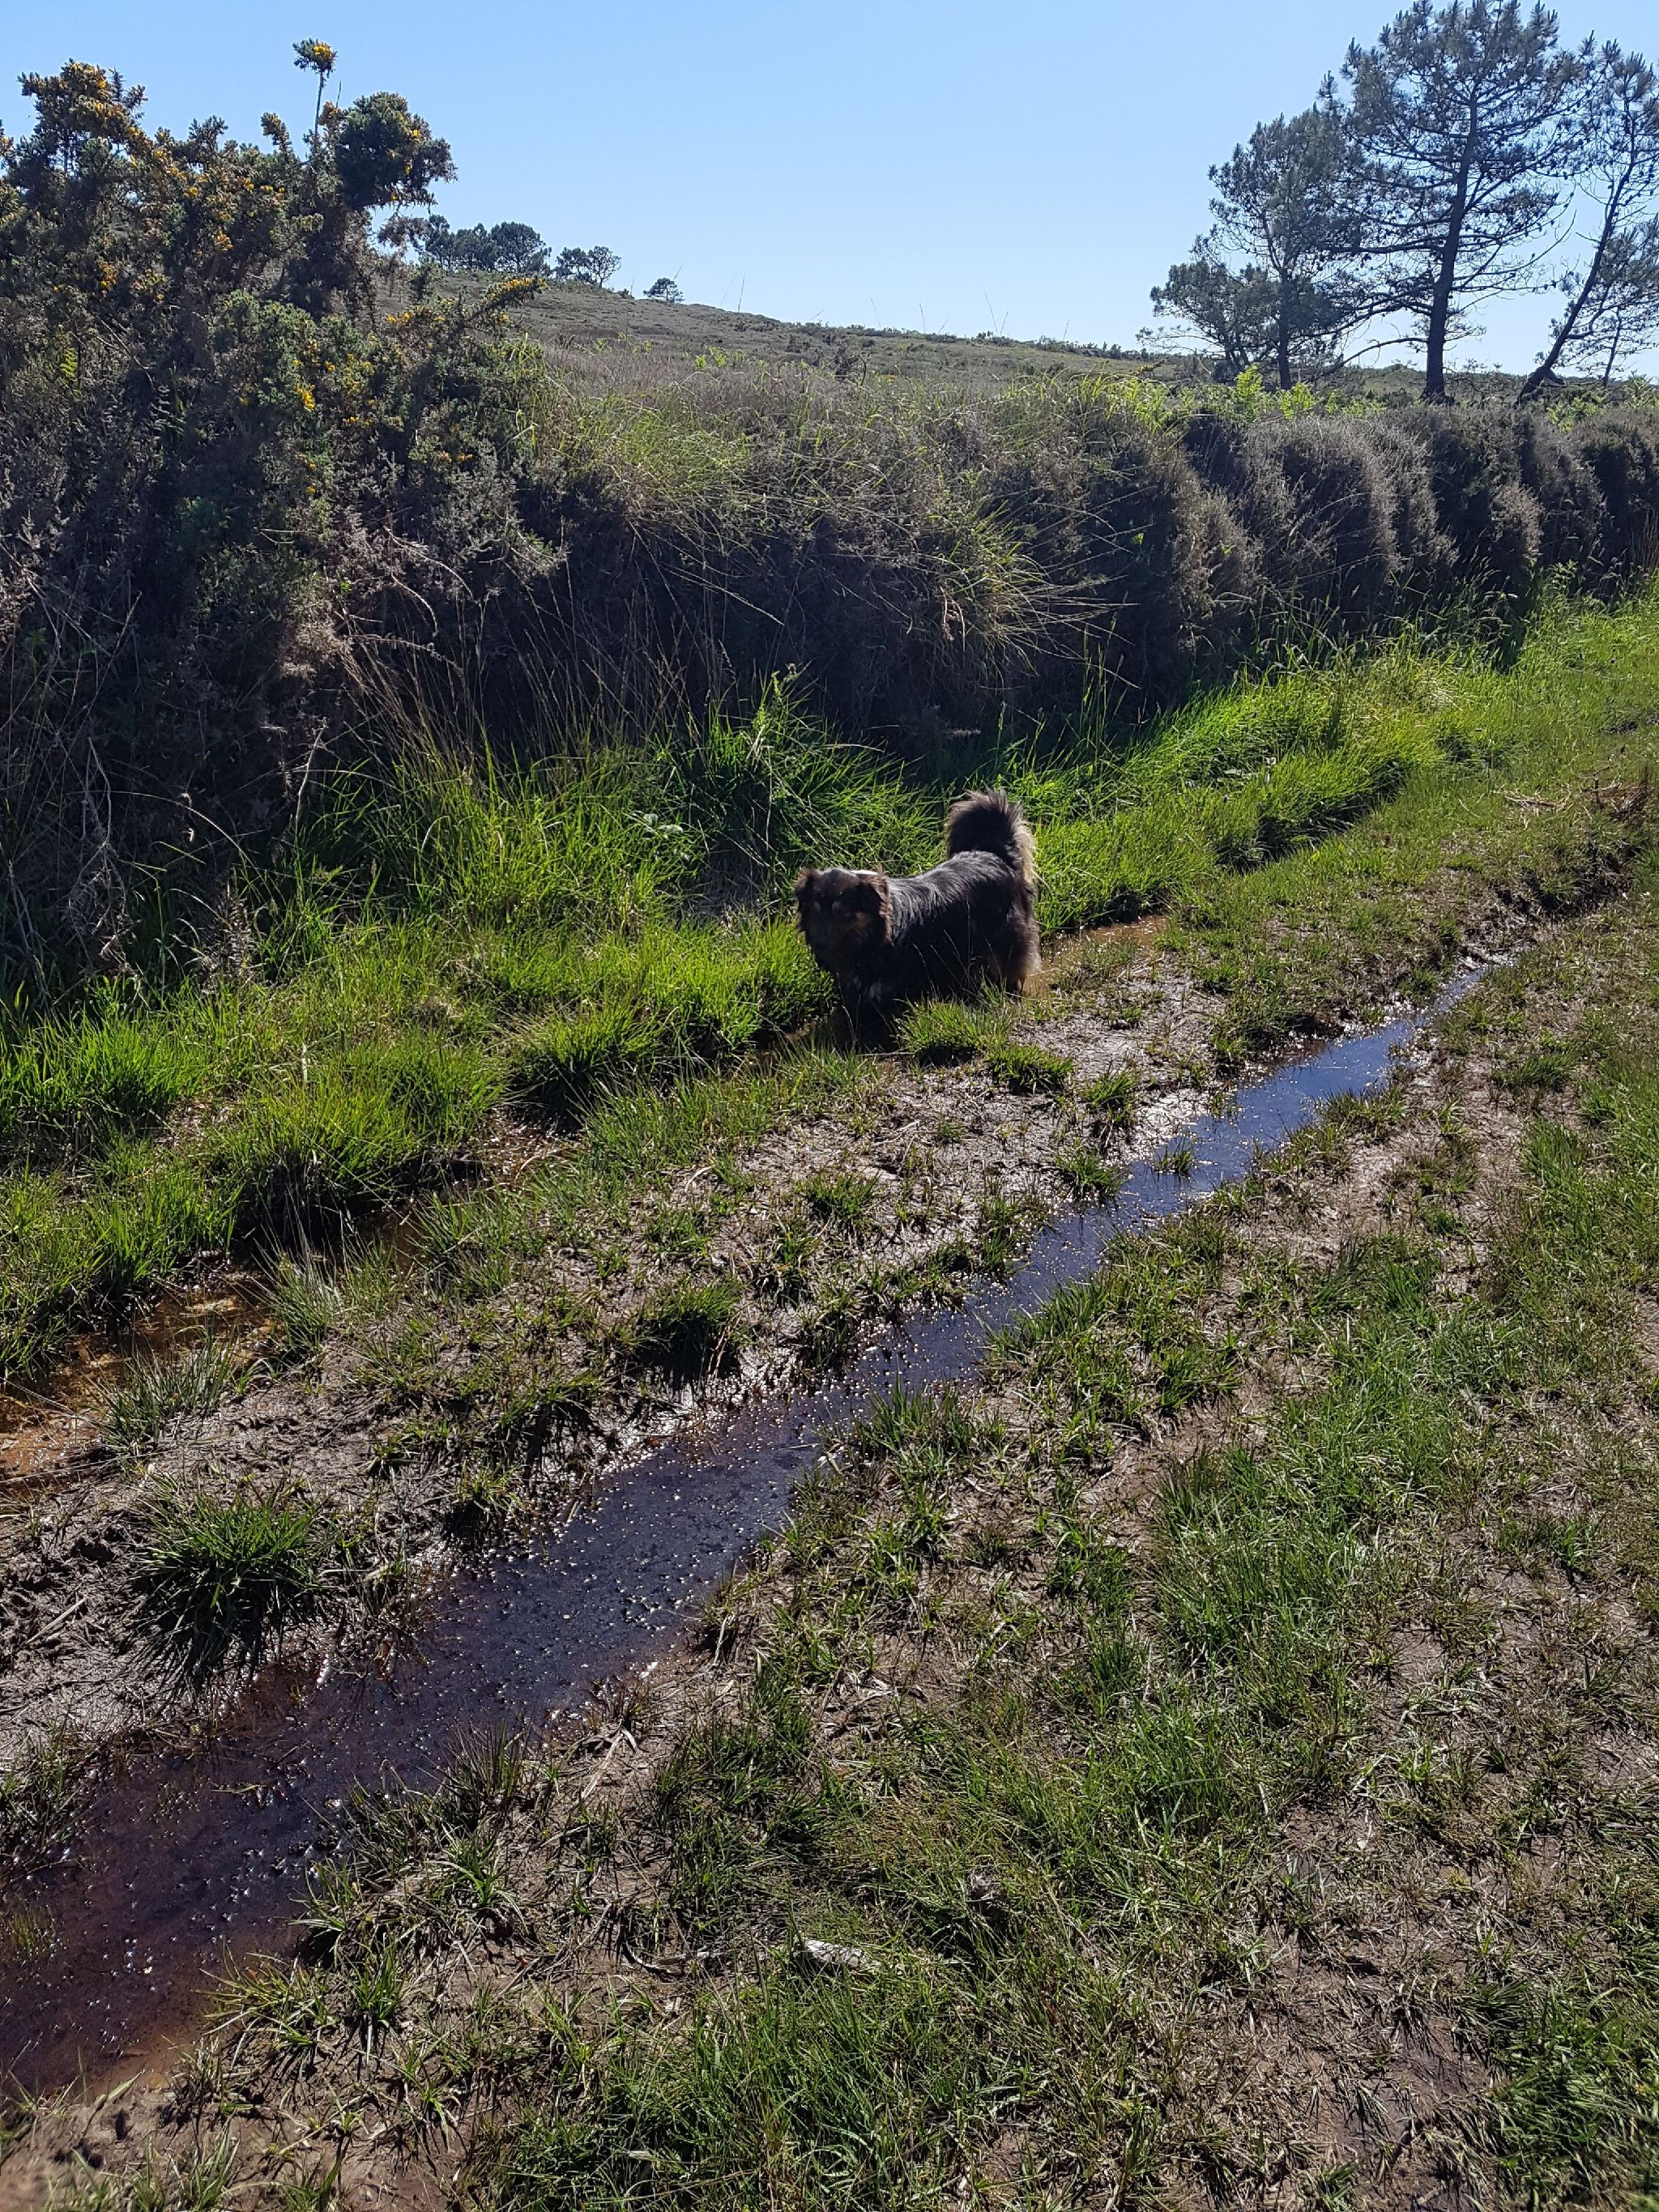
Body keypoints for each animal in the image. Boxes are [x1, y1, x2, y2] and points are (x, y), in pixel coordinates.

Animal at [794, 789, 1039, 1033]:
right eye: (816, 910)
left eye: (842, 911)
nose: (819, 943)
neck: (873, 940)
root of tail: (996, 856)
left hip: (1005, 940)